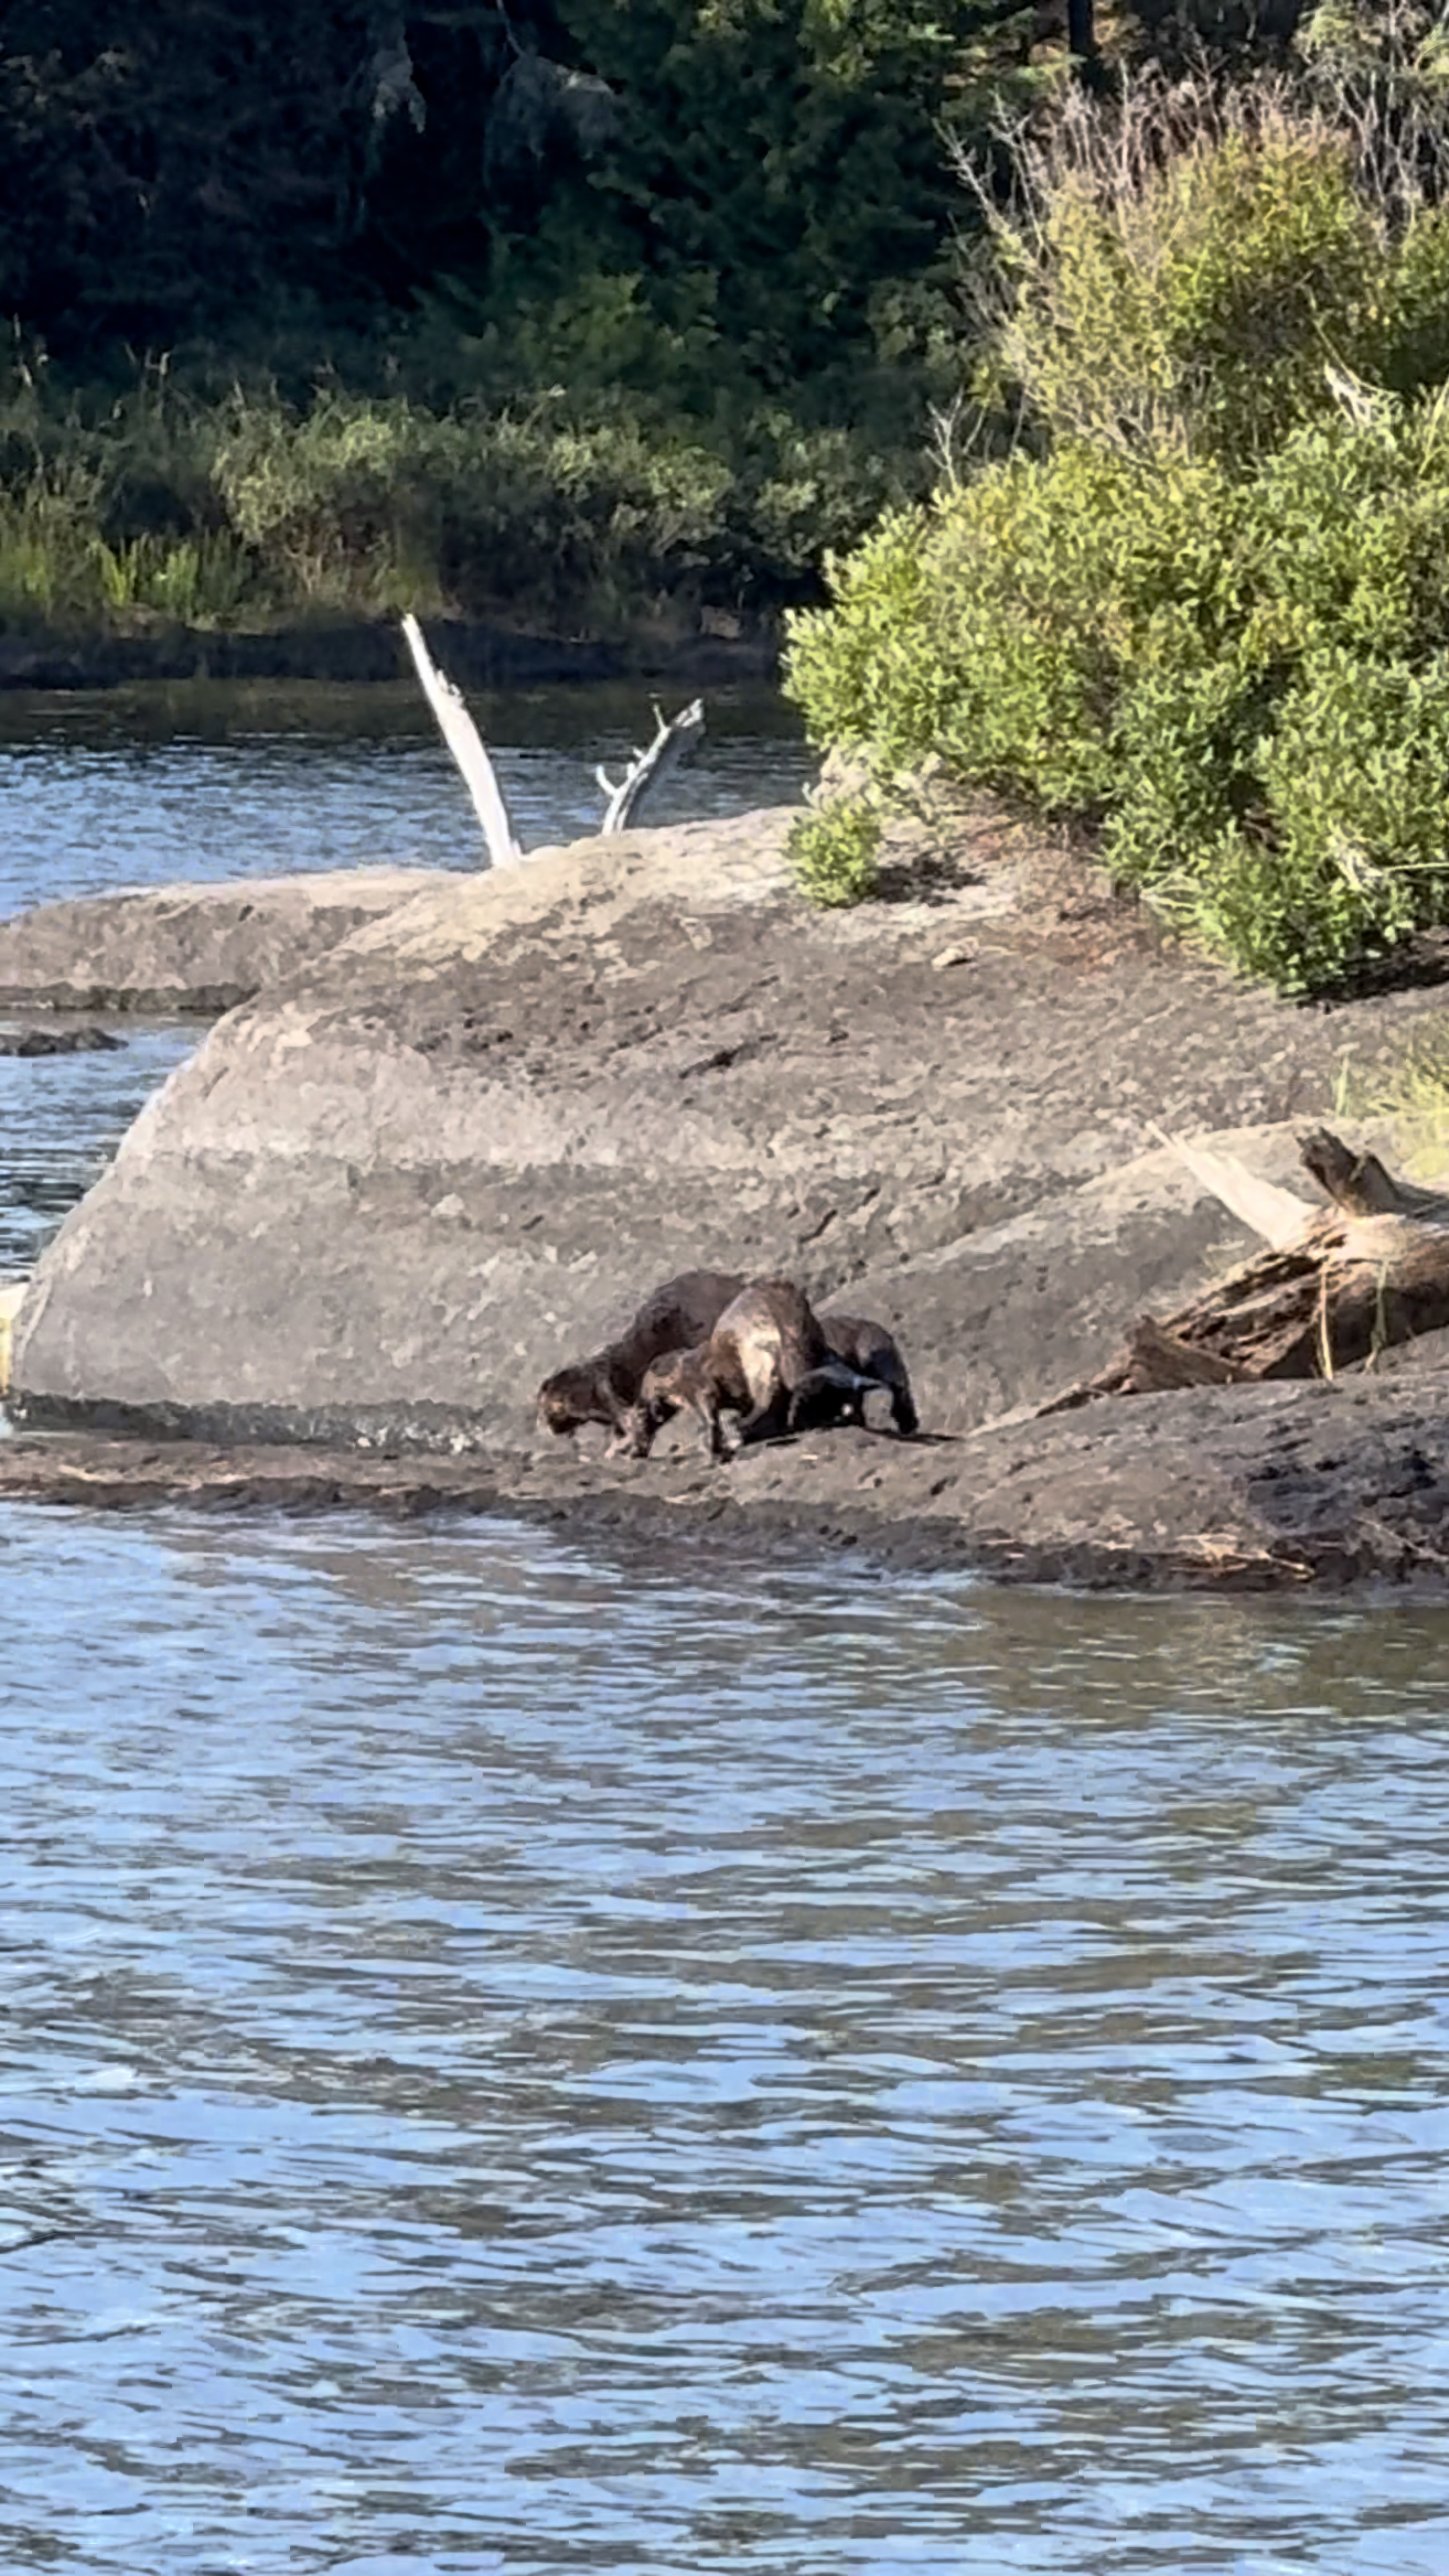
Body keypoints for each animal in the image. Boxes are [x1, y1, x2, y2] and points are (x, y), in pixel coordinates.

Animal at [630, 1277, 874, 1460]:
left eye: (639, 1421)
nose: (632, 1451)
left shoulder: (699, 1388)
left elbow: (709, 1416)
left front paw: (716, 1448)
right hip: (814, 1345)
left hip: (756, 1357)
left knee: (767, 1395)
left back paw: (741, 1427)